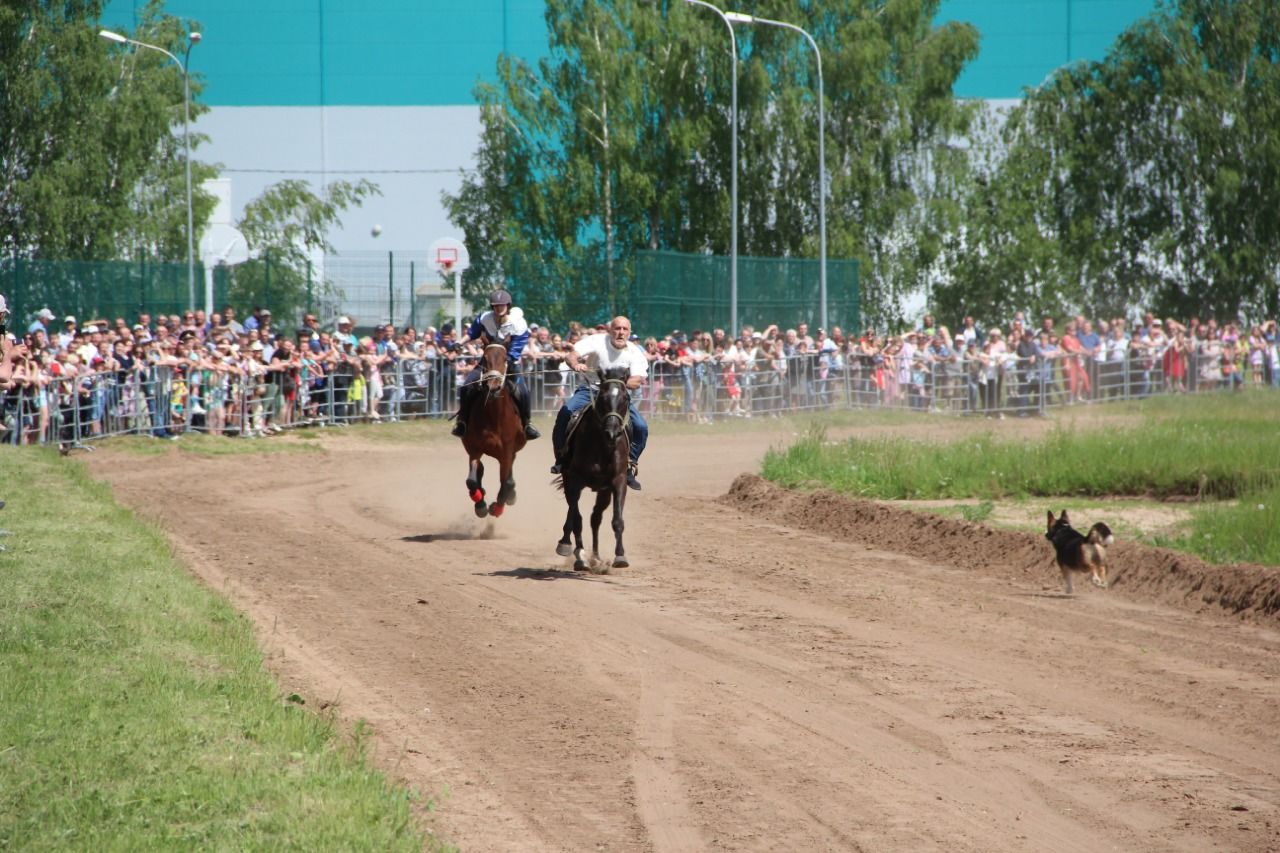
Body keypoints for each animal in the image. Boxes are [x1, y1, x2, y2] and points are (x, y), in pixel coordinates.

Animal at [460, 343, 524, 514]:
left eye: (505, 358)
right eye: (485, 358)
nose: (493, 386)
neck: (493, 416)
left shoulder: (507, 451)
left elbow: (506, 481)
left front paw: (497, 508)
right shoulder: (474, 449)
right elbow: (471, 480)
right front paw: (481, 506)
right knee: (480, 471)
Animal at [555, 366, 629, 571]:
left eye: (626, 398)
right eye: (602, 398)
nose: (612, 432)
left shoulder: (619, 481)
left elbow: (617, 520)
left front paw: (620, 556)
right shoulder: (574, 480)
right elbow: (576, 519)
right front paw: (575, 552)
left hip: (603, 491)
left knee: (595, 518)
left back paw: (595, 556)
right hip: (567, 479)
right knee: (577, 516)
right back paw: (579, 554)